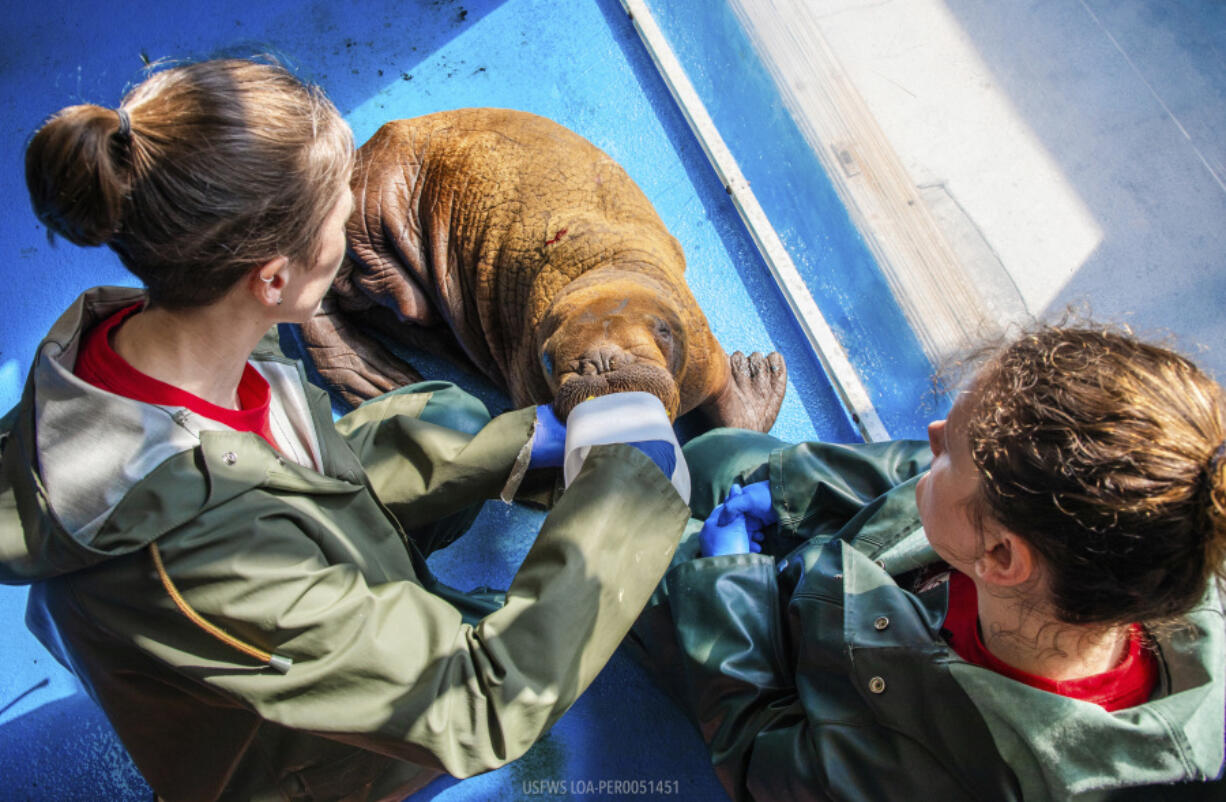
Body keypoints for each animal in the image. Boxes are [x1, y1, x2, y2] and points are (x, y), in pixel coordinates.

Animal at [301, 110, 789, 434]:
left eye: (662, 332)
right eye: (549, 358)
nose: (600, 361)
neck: (599, 265)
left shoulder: (701, 351)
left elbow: (731, 408)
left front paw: (756, 378)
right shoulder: (528, 383)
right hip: (366, 208)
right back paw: (378, 375)